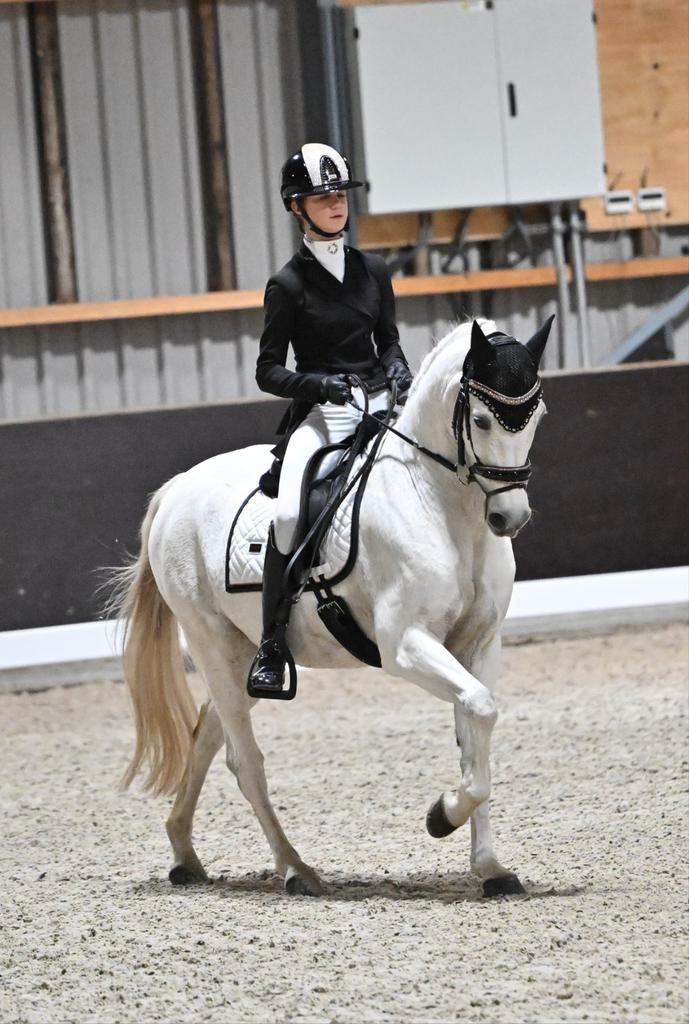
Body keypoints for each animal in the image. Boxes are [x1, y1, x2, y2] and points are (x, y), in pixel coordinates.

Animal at [111, 315, 552, 897]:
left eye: (537, 416)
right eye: (480, 419)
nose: (509, 517)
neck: (439, 505)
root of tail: (177, 489)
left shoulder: (479, 645)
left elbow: (475, 730)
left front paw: (491, 868)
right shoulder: (405, 646)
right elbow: (478, 712)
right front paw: (441, 817)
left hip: (240, 654)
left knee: (207, 732)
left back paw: (185, 853)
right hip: (211, 643)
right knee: (243, 760)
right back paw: (295, 868)